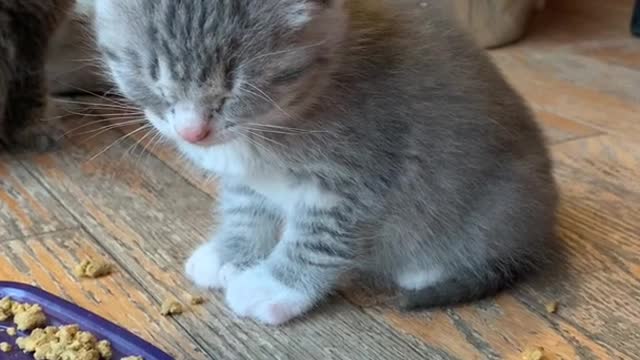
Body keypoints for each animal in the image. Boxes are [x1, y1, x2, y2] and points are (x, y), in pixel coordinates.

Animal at [94, 0, 556, 326]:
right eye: (151, 75)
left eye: (235, 86)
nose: (193, 132)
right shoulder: (248, 180)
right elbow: (245, 211)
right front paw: (231, 253)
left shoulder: (356, 181)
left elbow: (318, 241)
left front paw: (273, 286)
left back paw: (429, 270)